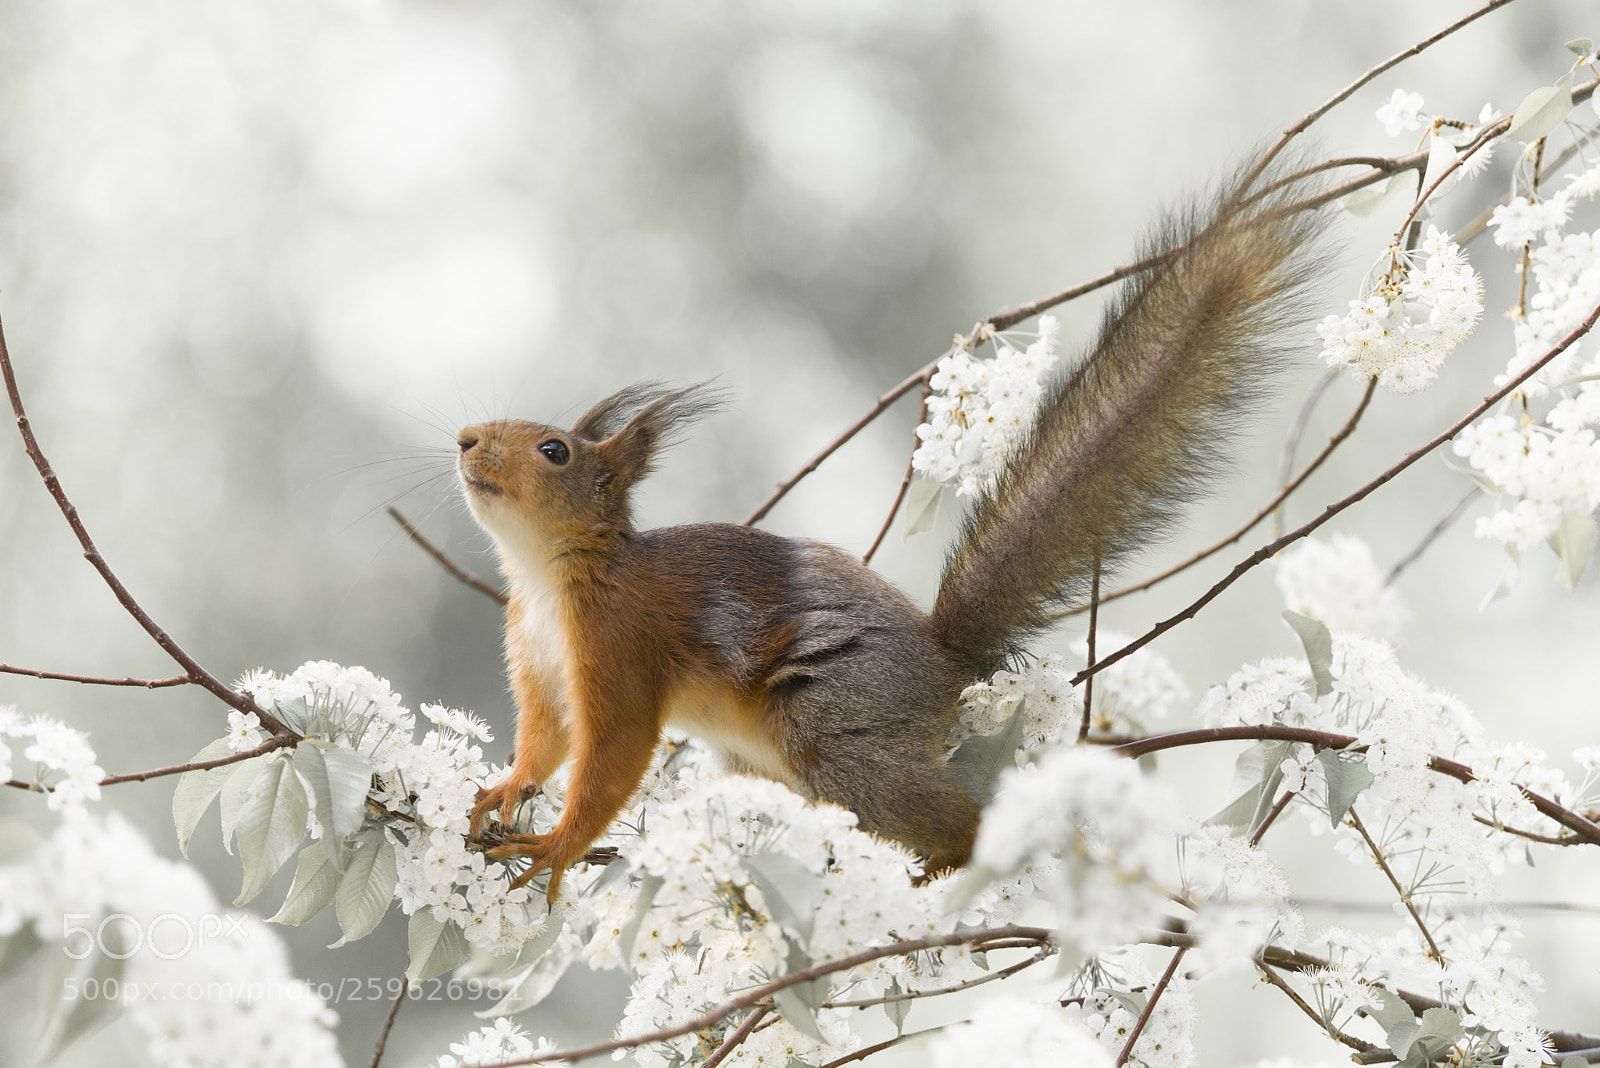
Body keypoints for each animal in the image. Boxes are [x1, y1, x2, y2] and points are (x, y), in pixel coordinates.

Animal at [456, 169, 1324, 902]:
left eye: (555, 451)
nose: (464, 438)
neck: (546, 573)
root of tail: (943, 664)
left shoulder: (621, 640)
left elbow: (613, 753)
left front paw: (557, 845)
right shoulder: (536, 657)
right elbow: (546, 741)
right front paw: (504, 791)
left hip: (838, 722)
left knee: (938, 807)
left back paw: (945, 864)